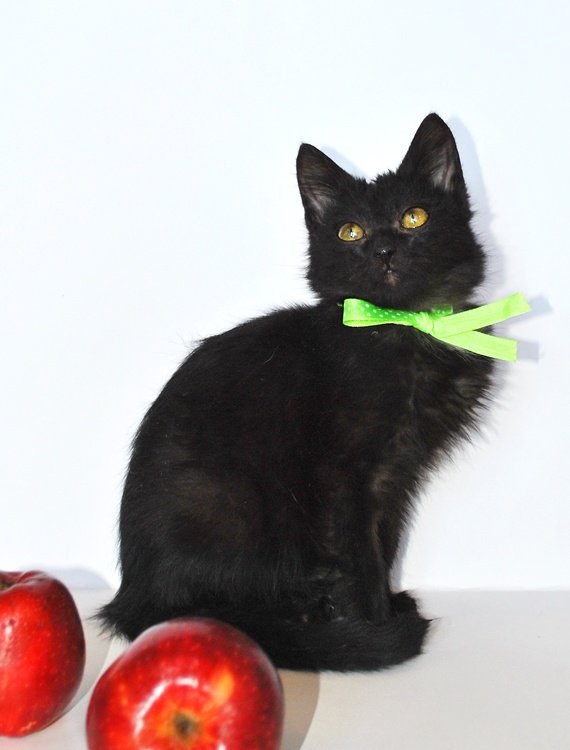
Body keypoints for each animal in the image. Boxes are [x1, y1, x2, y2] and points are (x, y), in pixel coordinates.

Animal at [99, 114, 494, 671]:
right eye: (350, 232)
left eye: (414, 217)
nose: (384, 250)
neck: (401, 329)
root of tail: (133, 596)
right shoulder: (344, 474)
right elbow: (359, 553)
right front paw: (373, 628)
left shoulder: (396, 475)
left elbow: (386, 541)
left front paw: (385, 607)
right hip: (229, 501)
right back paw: (305, 618)